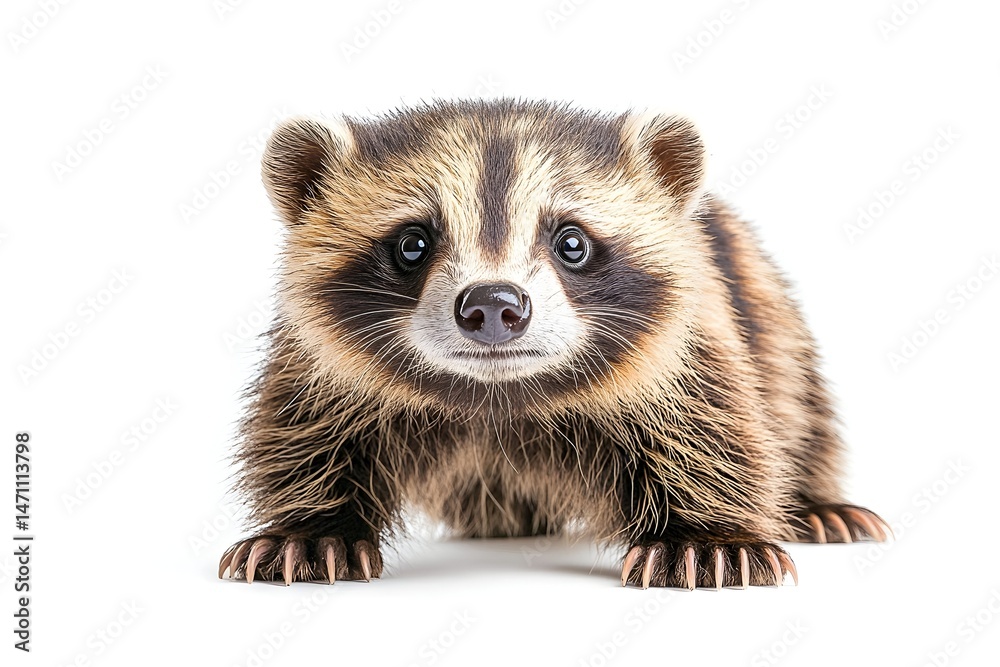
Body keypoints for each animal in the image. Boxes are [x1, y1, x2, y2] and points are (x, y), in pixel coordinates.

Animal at [218, 99, 889, 590]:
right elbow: (299, 429)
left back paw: (815, 500)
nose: (493, 305)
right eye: (411, 243)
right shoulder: (316, 357)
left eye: (572, 242)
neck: (500, 398)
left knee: (797, 398)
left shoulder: (694, 336)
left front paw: (705, 536)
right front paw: (311, 526)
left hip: (763, 296)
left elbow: (714, 425)